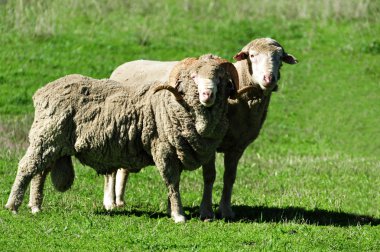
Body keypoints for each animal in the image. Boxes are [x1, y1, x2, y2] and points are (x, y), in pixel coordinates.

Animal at [4, 55, 239, 222]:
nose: (207, 95)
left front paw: (172, 209)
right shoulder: (162, 148)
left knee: (40, 171)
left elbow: (174, 184)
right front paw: (179, 215)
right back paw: (13, 207)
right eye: (193, 77)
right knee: (26, 167)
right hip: (46, 135)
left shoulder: (176, 150)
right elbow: (172, 182)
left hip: (52, 142)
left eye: (219, 78)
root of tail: (42, 91)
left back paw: (35, 206)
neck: (172, 104)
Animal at [101, 37, 300, 219]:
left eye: (280, 58)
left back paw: (120, 200)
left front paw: (226, 210)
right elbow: (210, 176)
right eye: (252, 55)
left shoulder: (237, 146)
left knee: (123, 168)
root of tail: (123, 66)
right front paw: (206, 211)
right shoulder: (207, 145)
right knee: (111, 170)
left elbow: (230, 177)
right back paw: (109, 202)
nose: (269, 79)